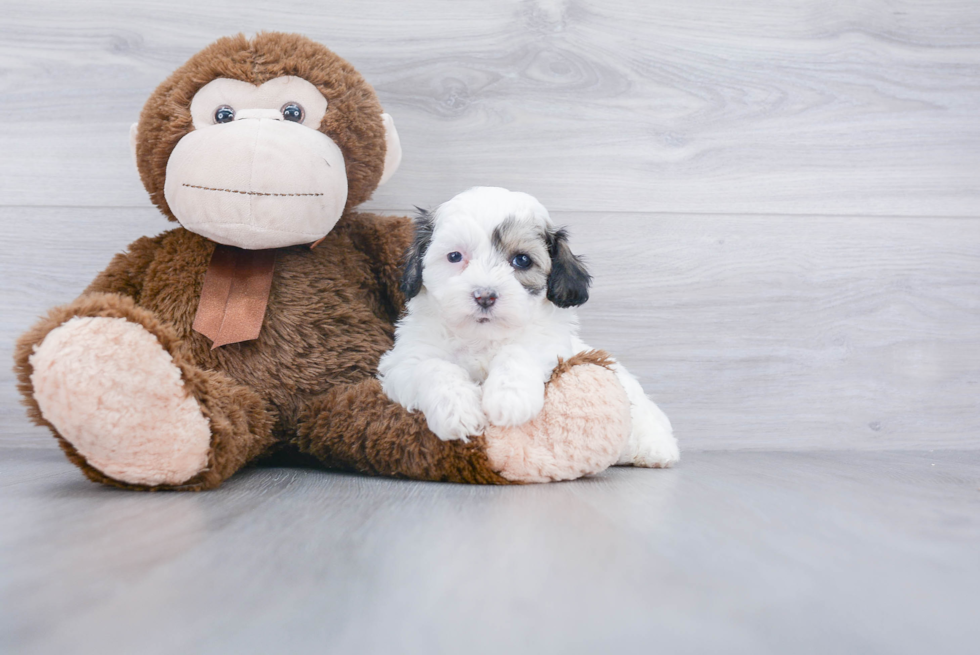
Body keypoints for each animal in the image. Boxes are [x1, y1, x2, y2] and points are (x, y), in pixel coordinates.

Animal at [378, 187, 680, 468]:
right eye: (454, 256)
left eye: (522, 260)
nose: (485, 295)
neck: (482, 338)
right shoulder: (403, 363)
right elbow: (434, 367)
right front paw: (458, 410)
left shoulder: (550, 346)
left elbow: (518, 353)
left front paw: (509, 398)